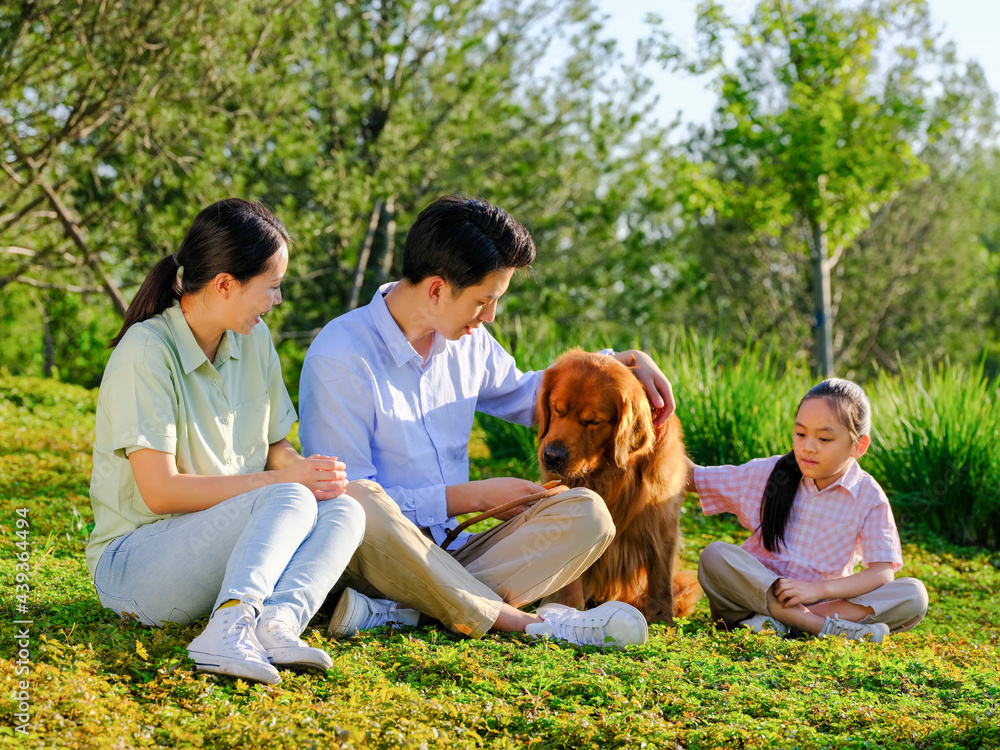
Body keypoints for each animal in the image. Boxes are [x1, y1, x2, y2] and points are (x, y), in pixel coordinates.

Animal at [540, 350, 704, 624]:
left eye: (592, 421)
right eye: (556, 409)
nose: (552, 456)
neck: (611, 474)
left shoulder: (661, 519)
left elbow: (661, 575)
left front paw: (662, 617)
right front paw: (567, 606)